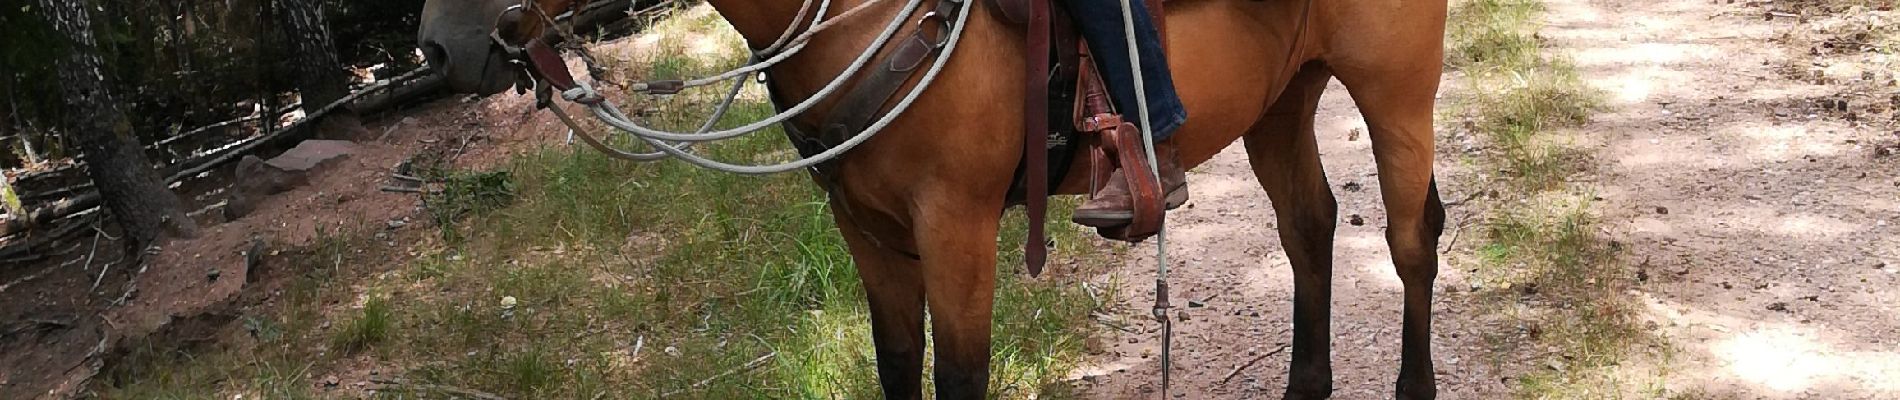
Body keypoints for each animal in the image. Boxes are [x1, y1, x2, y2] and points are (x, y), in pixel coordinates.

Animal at [423, 0, 1444, 396]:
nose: (441, 45)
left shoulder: (955, 227)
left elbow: (958, 374)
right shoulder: (866, 231)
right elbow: (896, 363)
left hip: (1397, 86)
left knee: (1410, 240)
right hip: (1282, 100)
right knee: (1311, 229)